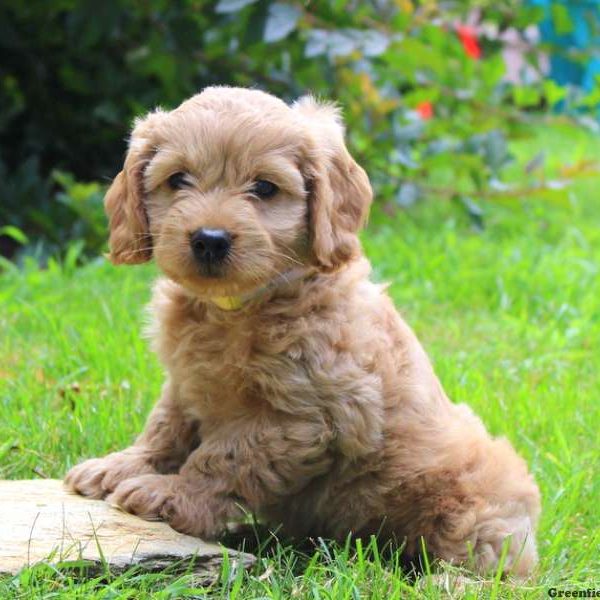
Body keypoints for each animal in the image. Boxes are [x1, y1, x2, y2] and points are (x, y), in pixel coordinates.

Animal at [64, 85, 540, 576]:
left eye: (264, 188)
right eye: (178, 180)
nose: (210, 239)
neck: (237, 307)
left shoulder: (303, 415)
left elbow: (225, 456)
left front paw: (169, 493)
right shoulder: (186, 380)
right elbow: (165, 426)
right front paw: (122, 465)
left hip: (475, 501)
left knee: (490, 560)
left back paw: (449, 581)